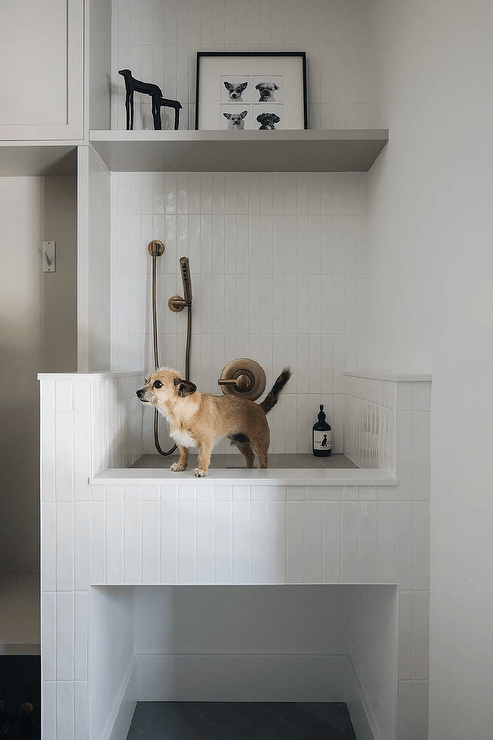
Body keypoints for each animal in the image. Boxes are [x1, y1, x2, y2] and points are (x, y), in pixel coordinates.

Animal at [135, 368, 288, 476]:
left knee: (263, 460)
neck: (180, 410)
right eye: (145, 381)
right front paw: (180, 466)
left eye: (158, 384)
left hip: (259, 444)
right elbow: (184, 454)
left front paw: (201, 470)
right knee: (250, 456)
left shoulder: (206, 442)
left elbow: (203, 457)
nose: (137, 392)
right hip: (240, 442)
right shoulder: (180, 441)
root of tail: (259, 406)